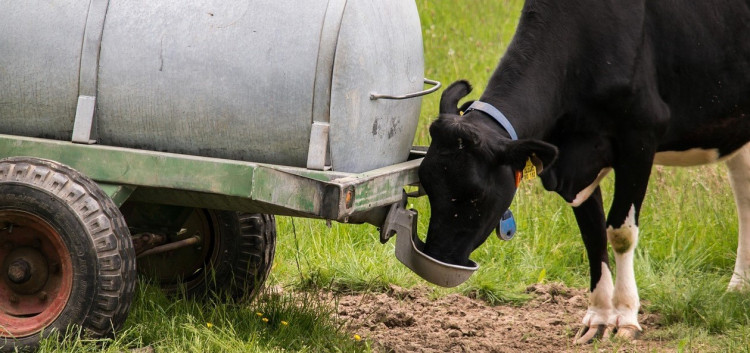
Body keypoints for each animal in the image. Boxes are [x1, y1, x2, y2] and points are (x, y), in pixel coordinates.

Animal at [420, 0, 748, 342]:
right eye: (425, 183)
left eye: (476, 194)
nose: (438, 256)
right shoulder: (573, 164)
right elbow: (592, 235)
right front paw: (598, 318)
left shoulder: (640, 138)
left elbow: (620, 231)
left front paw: (626, 316)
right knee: (743, 190)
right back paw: (738, 287)